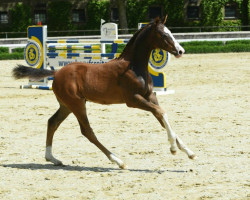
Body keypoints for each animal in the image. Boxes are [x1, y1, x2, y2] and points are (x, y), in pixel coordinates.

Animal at [12, 16, 195, 169]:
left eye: (171, 33)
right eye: (164, 35)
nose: (181, 51)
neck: (134, 66)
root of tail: (56, 73)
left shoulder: (150, 96)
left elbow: (161, 117)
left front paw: (188, 151)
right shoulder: (133, 100)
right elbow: (161, 113)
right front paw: (173, 148)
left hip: (67, 105)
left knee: (52, 122)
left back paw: (52, 158)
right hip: (77, 104)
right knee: (87, 131)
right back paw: (118, 161)